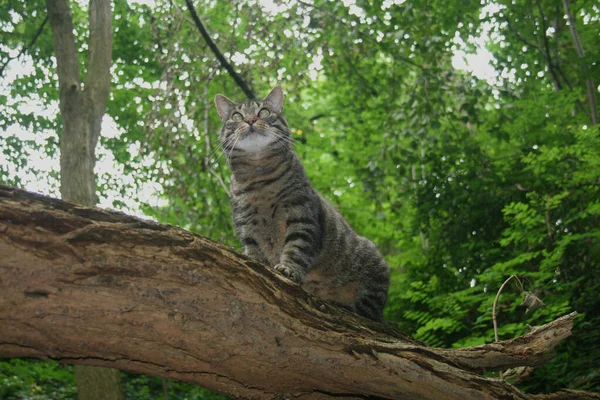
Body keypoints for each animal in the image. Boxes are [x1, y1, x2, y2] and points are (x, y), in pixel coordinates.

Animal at [214, 85, 390, 322]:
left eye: (263, 112)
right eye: (237, 116)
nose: (250, 120)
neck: (259, 175)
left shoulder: (300, 214)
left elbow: (296, 247)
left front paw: (288, 269)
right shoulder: (247, 227)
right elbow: (255, 254)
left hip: (372, 267)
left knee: (367, 309)